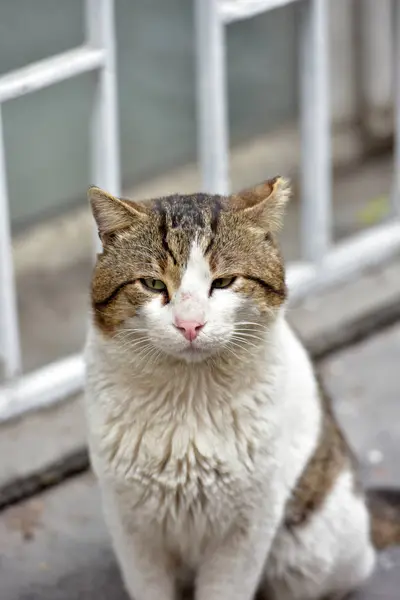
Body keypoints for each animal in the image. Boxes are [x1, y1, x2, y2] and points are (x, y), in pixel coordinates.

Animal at [84, 178, 400, 600]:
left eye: (223, 282)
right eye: (152, 284)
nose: (190, 324)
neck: (188, 400)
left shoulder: (247, 526)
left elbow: (225, 589)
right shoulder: (131, 524)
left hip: (310, 553)